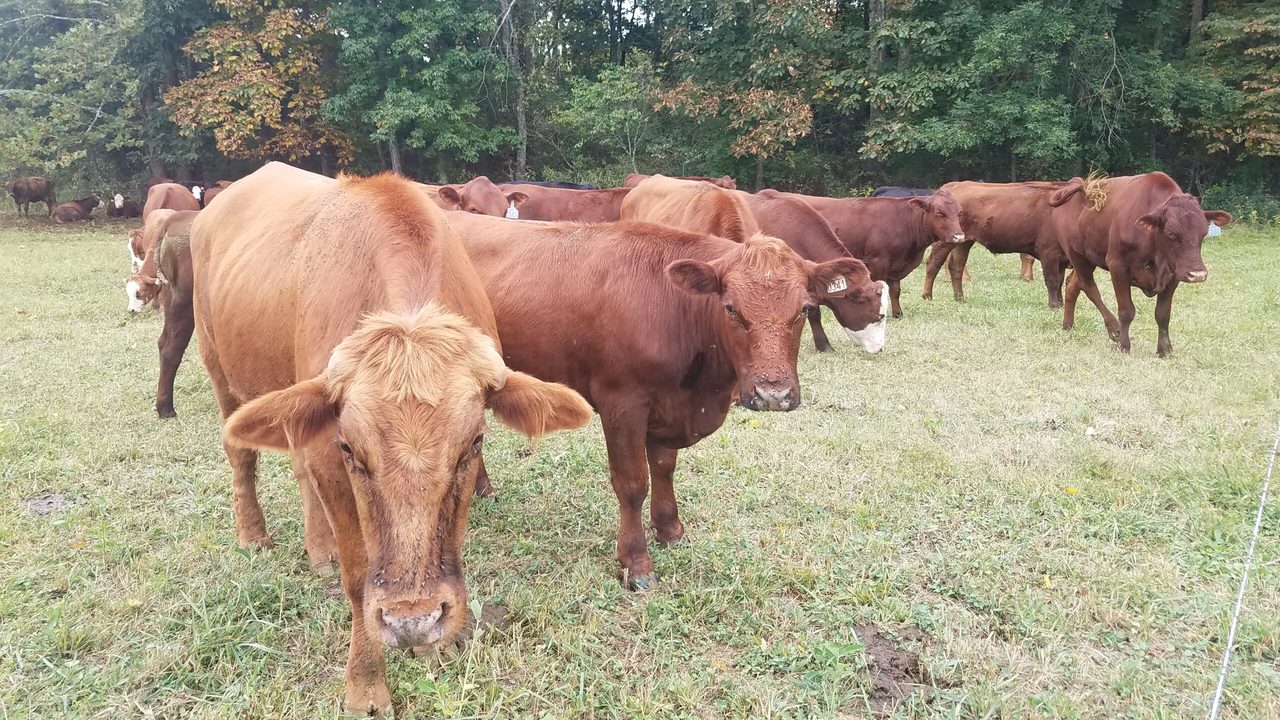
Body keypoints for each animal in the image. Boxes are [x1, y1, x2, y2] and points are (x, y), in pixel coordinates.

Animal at [191, 162, 591, 714]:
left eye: (474, 443)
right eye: (349, 448)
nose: (412, 621)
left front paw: (436, 643)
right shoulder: (329, 460)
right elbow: (359, 577)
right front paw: (365, 684)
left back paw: (319, 548)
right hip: (220, 372)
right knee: (240, 454)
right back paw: (253, 535)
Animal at [448, 211, 869, 590]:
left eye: (804, 309)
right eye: (731, 308)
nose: (773, 394)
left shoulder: (668, 408)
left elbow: (665, 467)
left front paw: (669, 528)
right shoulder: (622, 403)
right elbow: (633, 482)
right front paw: (636, 563)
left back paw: (482, 487)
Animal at [779, 190, 966, 317]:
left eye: (959, 213)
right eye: (939, 213)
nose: (959, 236)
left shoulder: (896, 266)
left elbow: (895, 290)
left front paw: (898, 313)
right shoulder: (878, 262)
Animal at [920, 181, 1073, 308]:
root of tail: (952, 186)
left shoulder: (1060, 259)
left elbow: (1059, 281)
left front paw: (1060, 304)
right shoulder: (1049, 253)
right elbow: (1052, 280)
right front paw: (1054, 306)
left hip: (963, 242)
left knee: (956, 266)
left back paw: (960, 298)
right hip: (944, 242)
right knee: (933, 263)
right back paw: (927, 295)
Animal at [1050, 172, 1231, 357]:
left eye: (1203, 234)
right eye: (1171, 234)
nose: (1198, 274)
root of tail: (1082, 185)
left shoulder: (1174, 273)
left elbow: (1163, 314)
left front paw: (1165, 350)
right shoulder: (1117, 266)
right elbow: (1126, 310)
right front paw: (1124, 346)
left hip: (1088, 257)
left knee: (1073, 286)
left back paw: (1067, 325)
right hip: (1076, 255)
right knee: (1089, 287)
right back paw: (1114, 329)